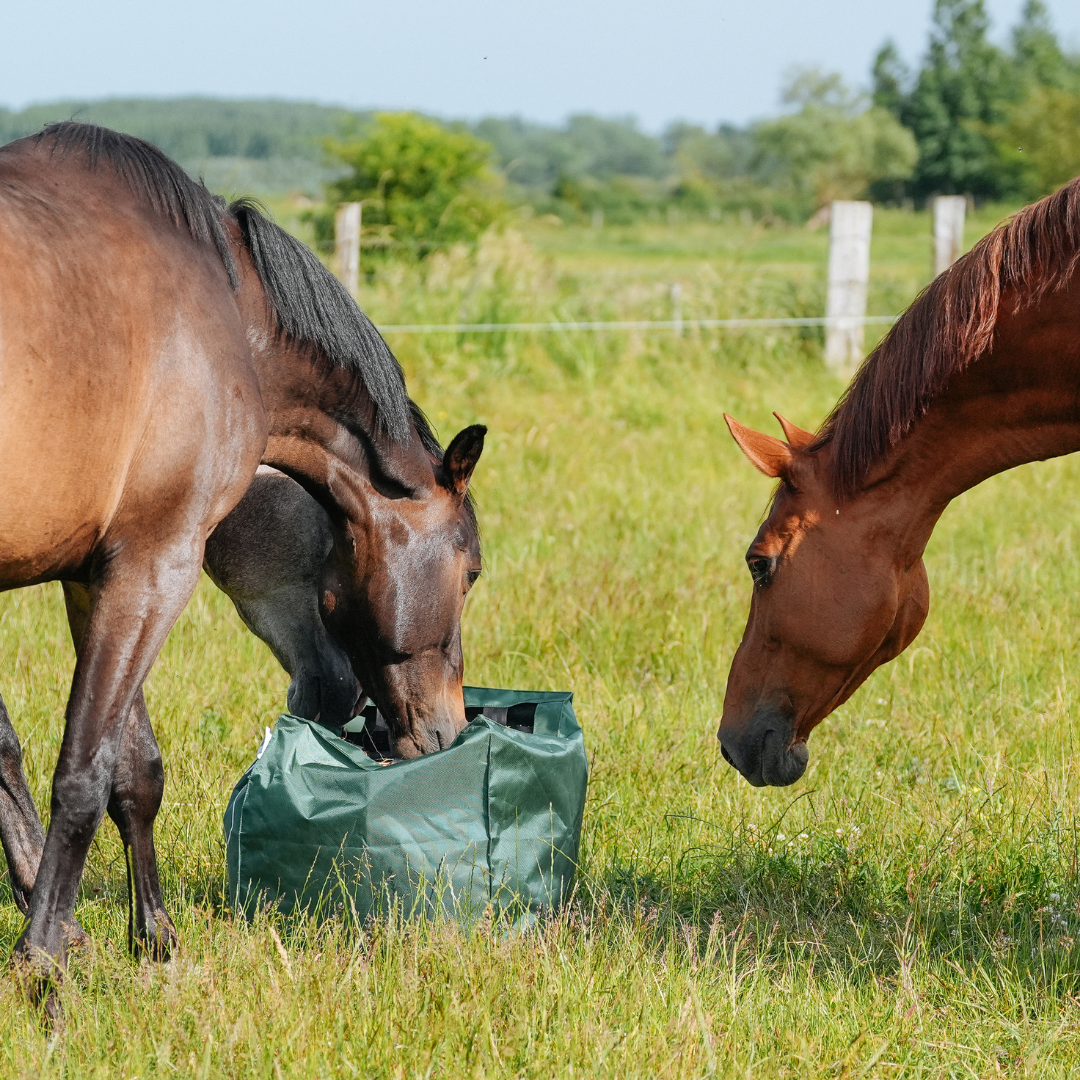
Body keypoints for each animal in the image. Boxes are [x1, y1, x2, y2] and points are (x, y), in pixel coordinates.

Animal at [0, 122, 483, 993]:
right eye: (471, 572)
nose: (445, 733)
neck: (225, 313)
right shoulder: (157, 563)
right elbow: (84, 770)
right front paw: (43, 959)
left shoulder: (102, 570)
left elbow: (132, 769)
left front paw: (150, 936)